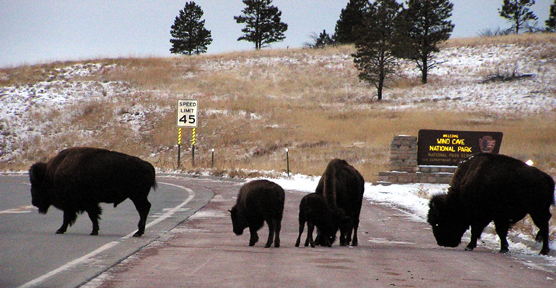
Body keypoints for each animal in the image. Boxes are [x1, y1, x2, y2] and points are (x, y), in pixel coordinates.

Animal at [29, 147, 157, 237]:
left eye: (37, 185)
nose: (34, 202)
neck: (51, 174)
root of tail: (148, 165)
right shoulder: (88, 203)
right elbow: (93, 216)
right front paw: (94, 231)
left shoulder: (75, 204)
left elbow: (72, 217)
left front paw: (60, 230)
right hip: (138, 197)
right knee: (144, 209)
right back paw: (139, 232)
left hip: (137, 197)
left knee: (143, 209)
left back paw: (138, 233)